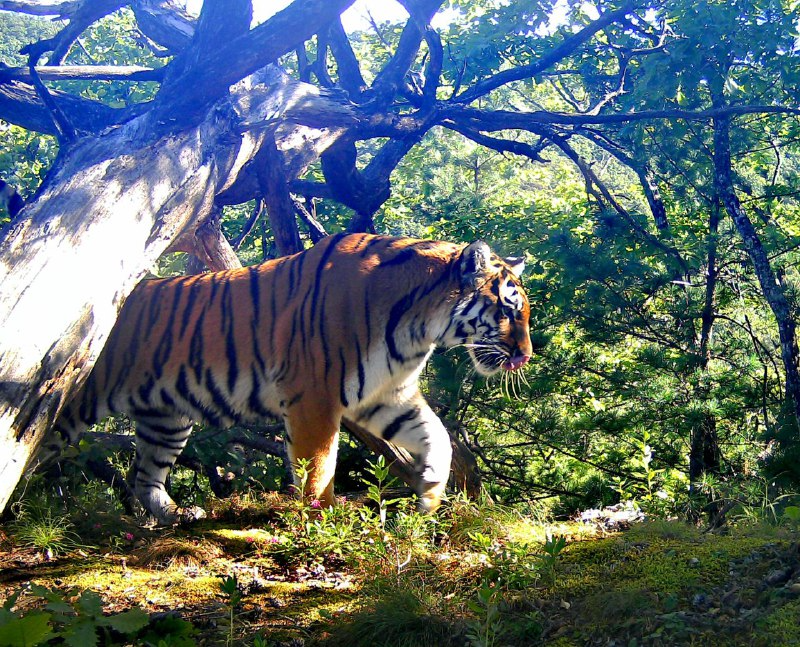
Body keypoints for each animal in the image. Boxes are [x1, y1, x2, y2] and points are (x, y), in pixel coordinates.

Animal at [45, 235, 532, 524]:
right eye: (509, 310)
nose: (525, 355)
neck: (420, 326)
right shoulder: (315, 395)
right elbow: (319, 463)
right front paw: (324, 515)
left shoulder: (386, 394)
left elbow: (438, 436)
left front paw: (430, 491)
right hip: (67, 408)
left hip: (166, 419)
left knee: (145, 475)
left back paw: (179, 514)